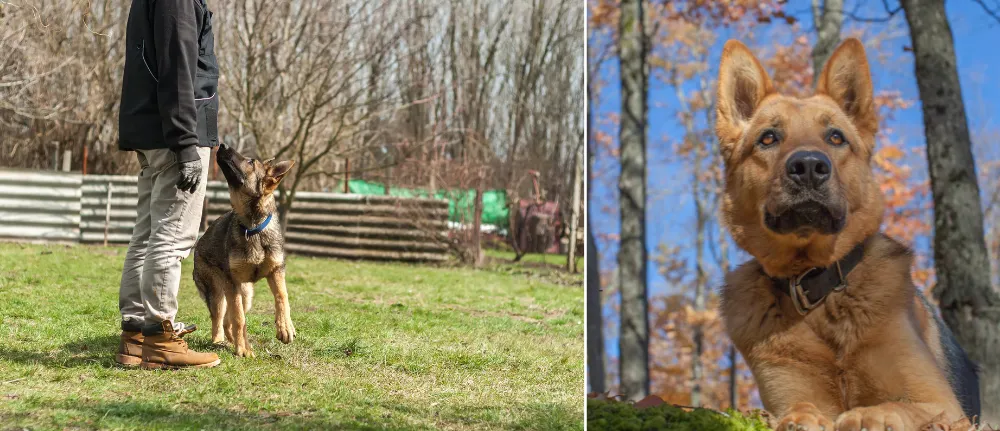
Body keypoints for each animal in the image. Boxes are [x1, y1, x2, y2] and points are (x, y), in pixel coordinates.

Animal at [193, 145, 296, 358]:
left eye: (250, 162)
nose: (222, 145)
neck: (253, 227)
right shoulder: (231, 282)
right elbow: (239, 319)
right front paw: (243, 349)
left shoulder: (276, 271)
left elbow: (282, 296)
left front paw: (285, 327)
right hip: (218, 292)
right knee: (220, 319)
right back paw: (221, 342)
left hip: (246, 294)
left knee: (228, 320)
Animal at [716, 38, 980, 431]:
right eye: (768, 138)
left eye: (835, 137)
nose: (809, 166)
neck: (816, 291)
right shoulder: (790, 389)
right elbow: (799, 406)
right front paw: (801, 417)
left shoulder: (944, 405)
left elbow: (898, 406)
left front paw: (867, 414)